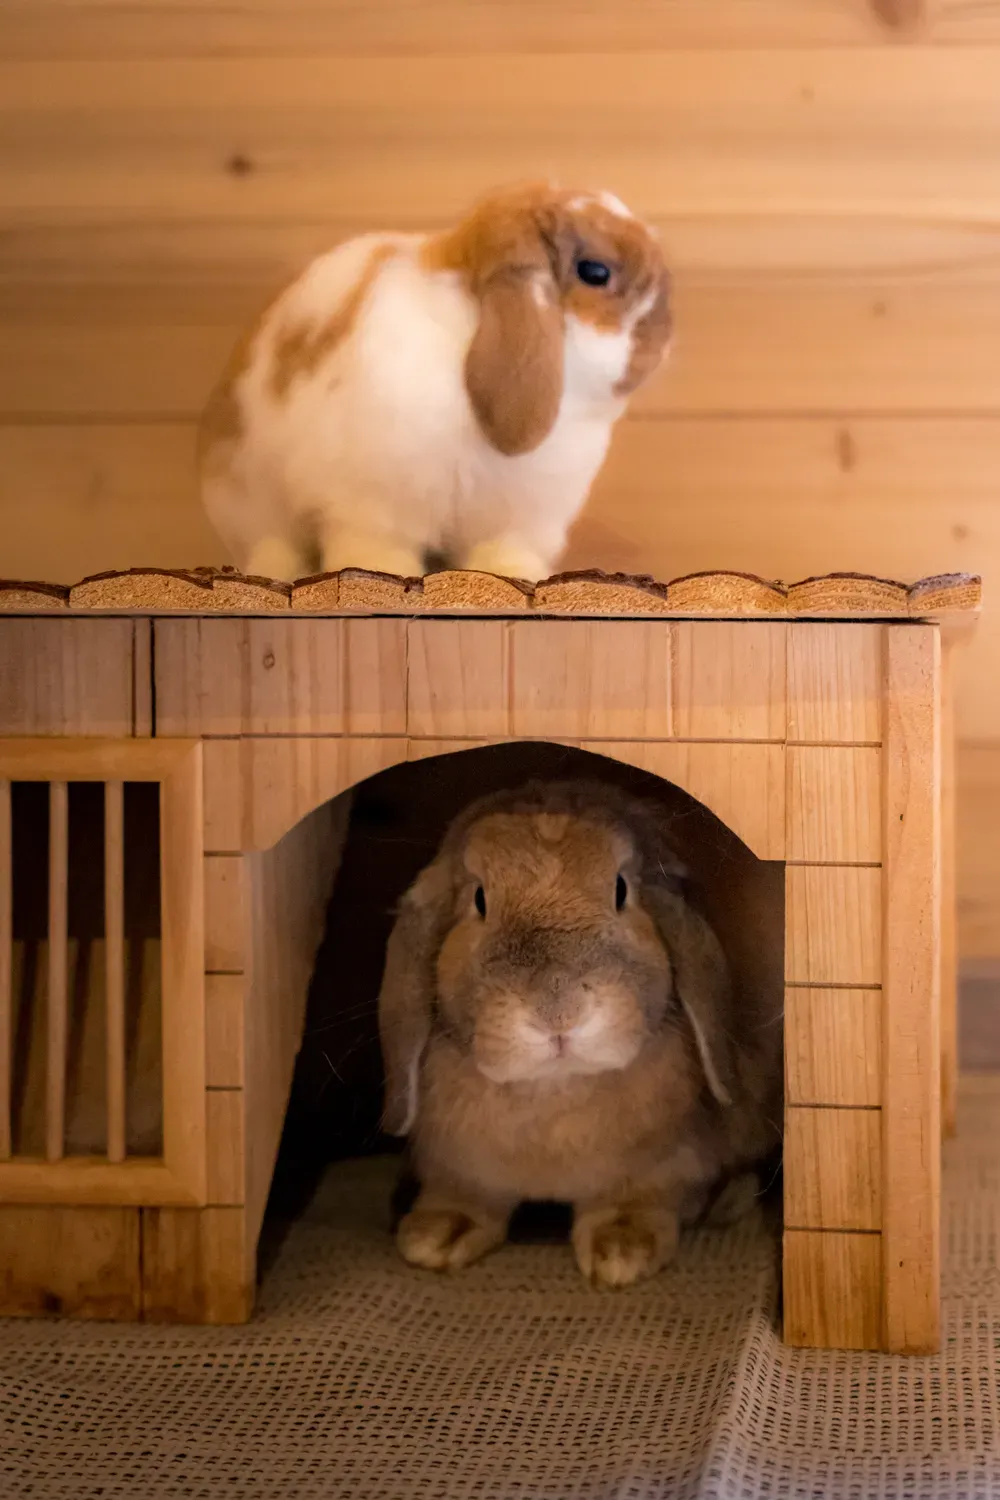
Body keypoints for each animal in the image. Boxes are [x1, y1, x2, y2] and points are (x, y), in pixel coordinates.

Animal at [198, 182, 671, 584]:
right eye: (595, 272)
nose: (663, 336)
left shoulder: (519, 519)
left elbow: (502, 553)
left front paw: (513, 575)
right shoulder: (375, 505)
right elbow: (376, 548)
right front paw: (384, 572)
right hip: (251, 502)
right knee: (273, 545)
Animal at [377, 780, 783, 1289]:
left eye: (621, 890)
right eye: (479, 900)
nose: (559, 1009)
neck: (555, 1088)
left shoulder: (662, 1166)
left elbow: (637, 1200)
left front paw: (622, 1252)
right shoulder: (457, 1166)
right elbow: (463, 1196)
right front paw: (435, 1237)